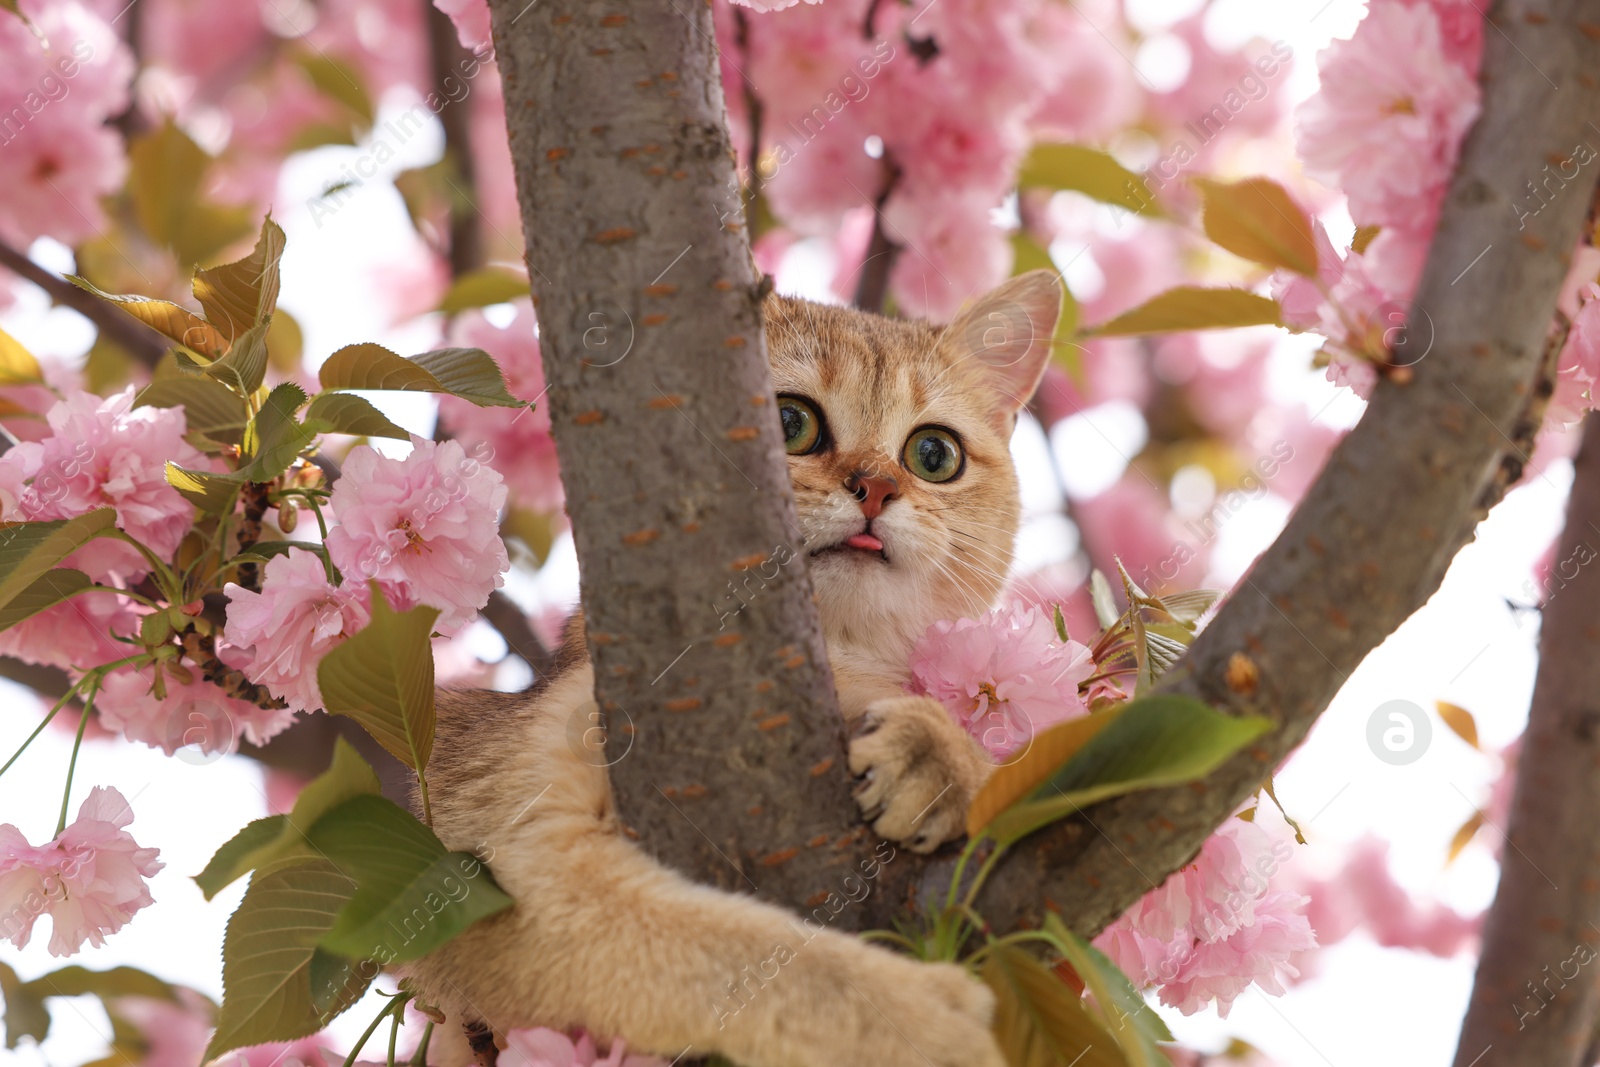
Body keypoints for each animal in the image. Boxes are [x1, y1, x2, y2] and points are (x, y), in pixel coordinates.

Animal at [406, 273, 1068, 1067]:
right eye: (789, 421)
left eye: (934, 454)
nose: (877, 487)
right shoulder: (512, 865)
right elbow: (751, 957)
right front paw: (922, 1024)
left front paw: (944, 756)